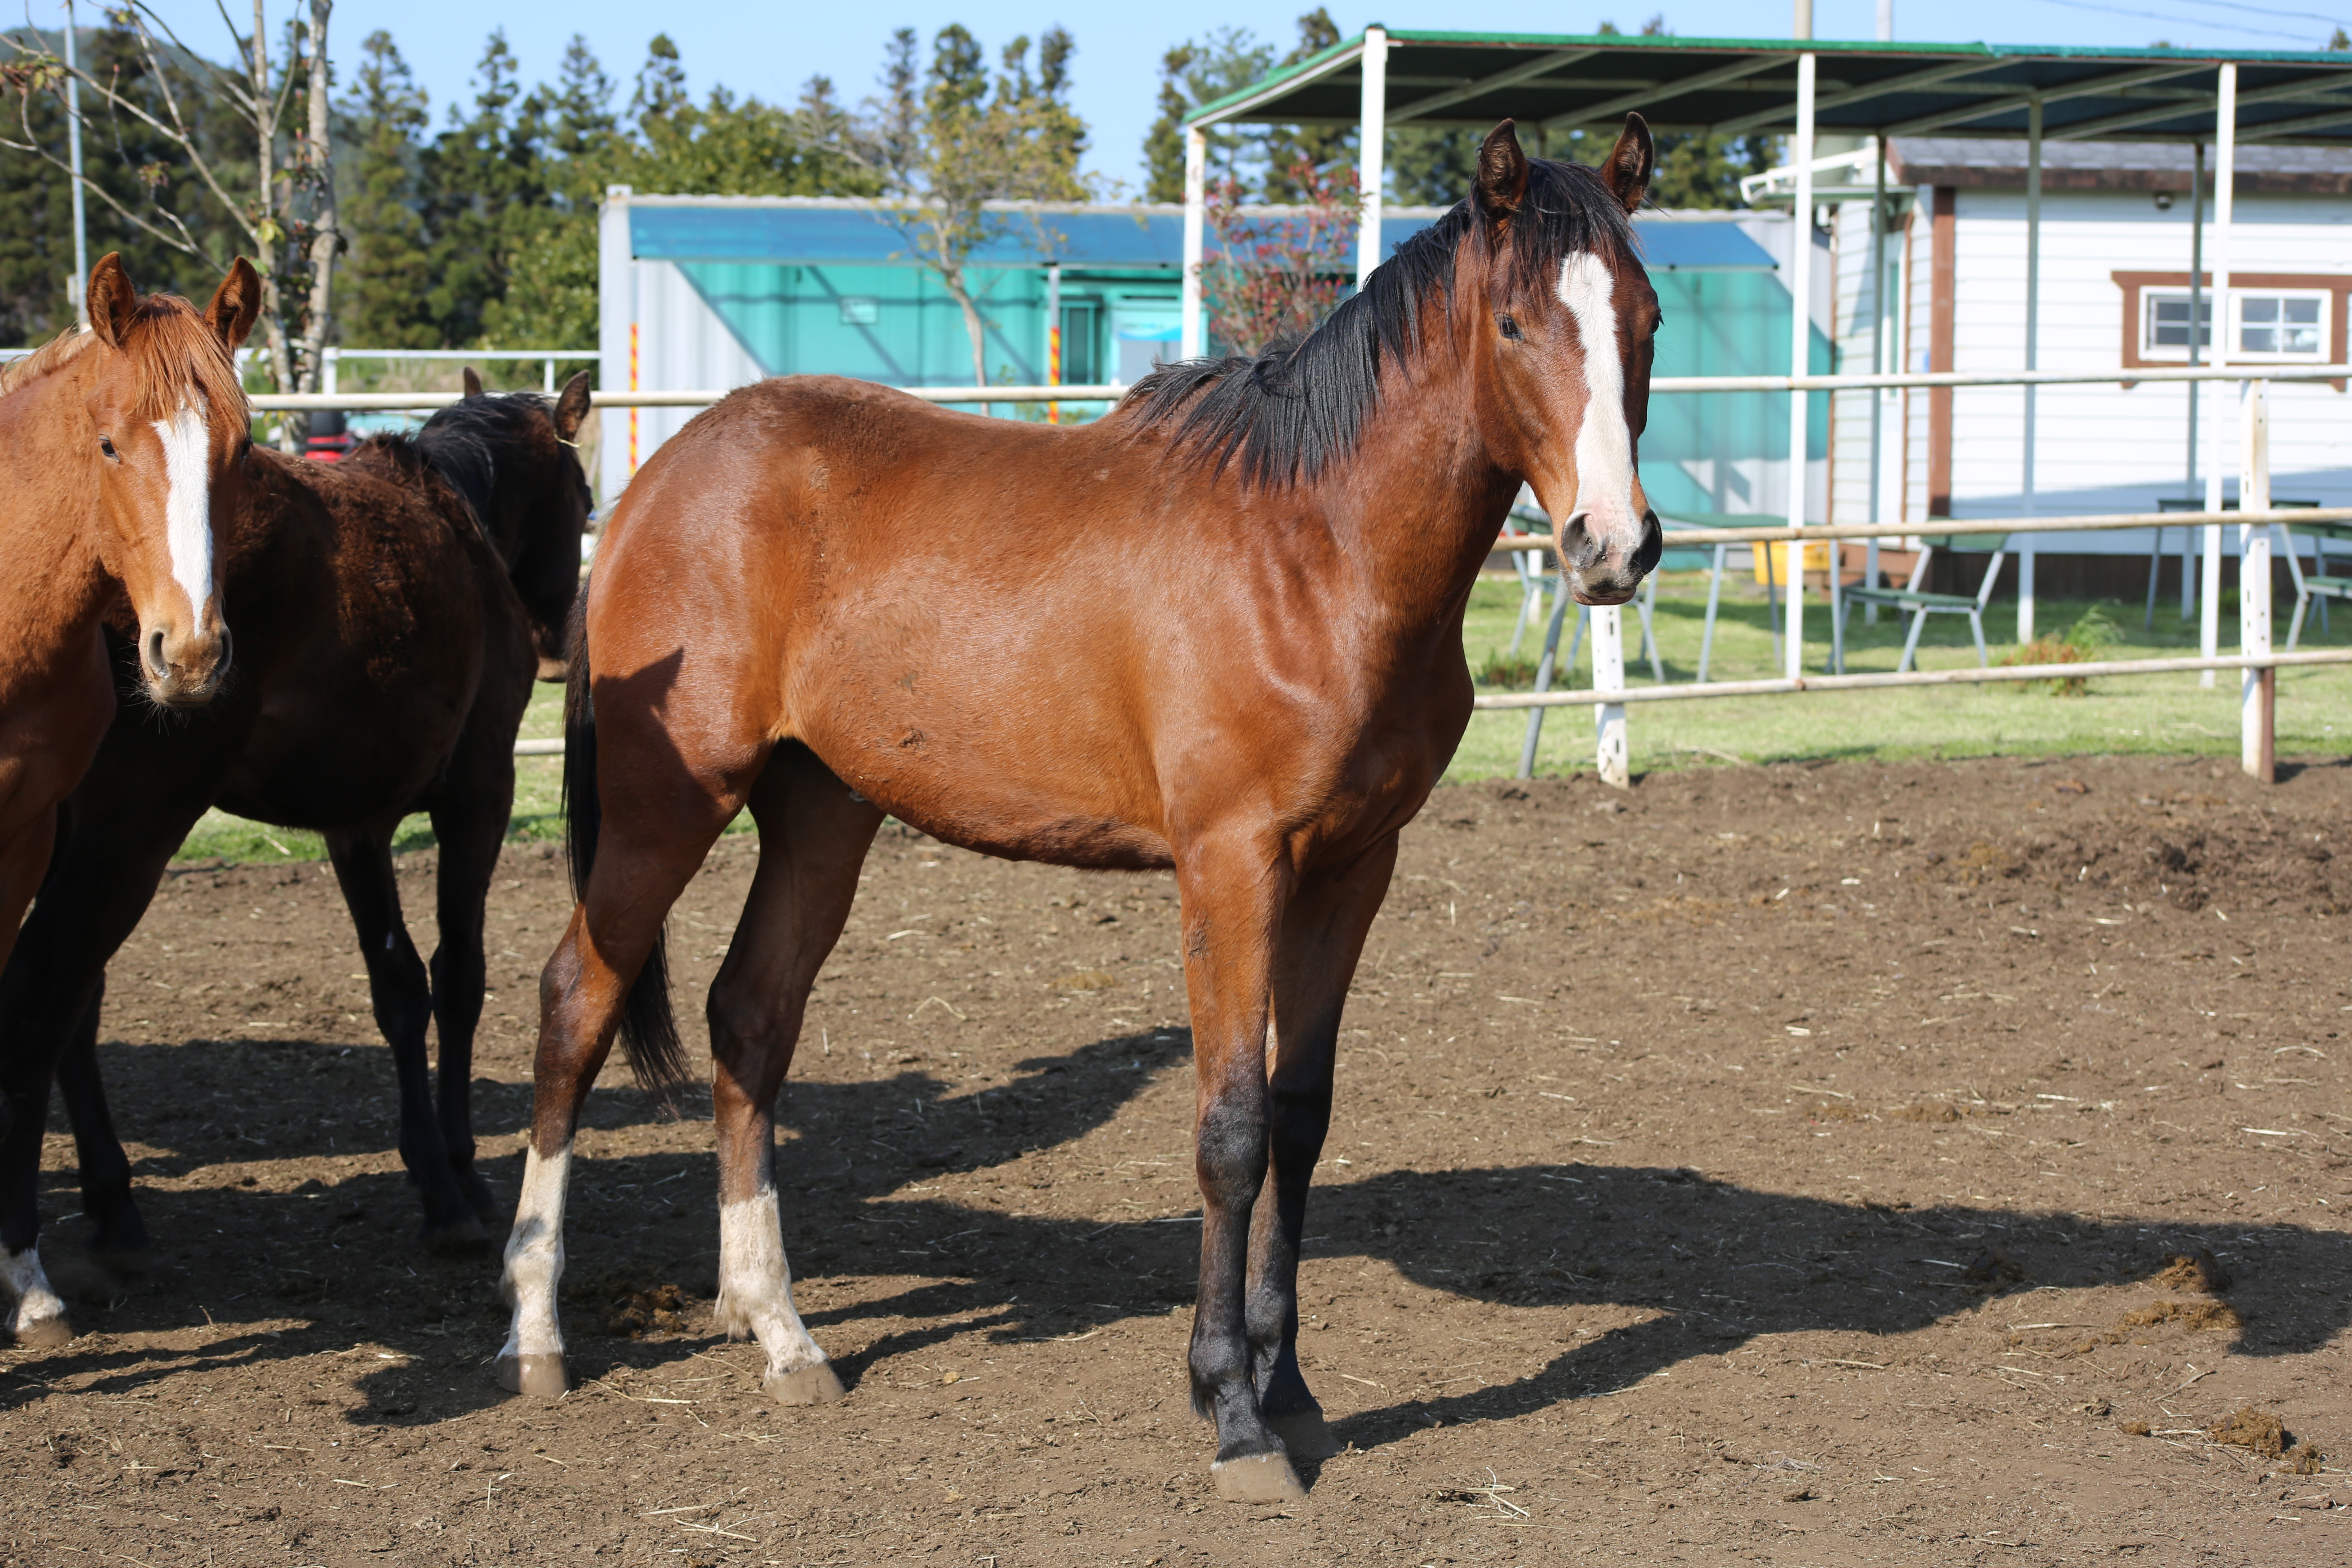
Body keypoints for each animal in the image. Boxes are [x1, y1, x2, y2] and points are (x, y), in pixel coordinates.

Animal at [0, 374, 588, 1345]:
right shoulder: (478, 796)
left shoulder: (357, 826)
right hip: (128, 830)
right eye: (582, 498)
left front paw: (439, 1174)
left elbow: (400, 991)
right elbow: (458, 977)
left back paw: (115, 1210)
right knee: (48, 1001)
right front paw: (457, 1176)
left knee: (74, 1011)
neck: (457, 508)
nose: (555, 642)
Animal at [501, 116, 1656, 1504]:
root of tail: (660, 474)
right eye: (1518, 325)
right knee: (578, 1003)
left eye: (1645, 318)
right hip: (665, 808)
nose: (1612, 547)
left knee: (752, 1020)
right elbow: (1232, 1129)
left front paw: (1293, 1388)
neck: (1313, 547)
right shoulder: (1231, 864)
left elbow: (1301, 1118)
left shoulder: (1352, 867)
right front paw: (1232, 1413)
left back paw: (781, 1332)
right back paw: (537, 1335)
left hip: (822, 813)